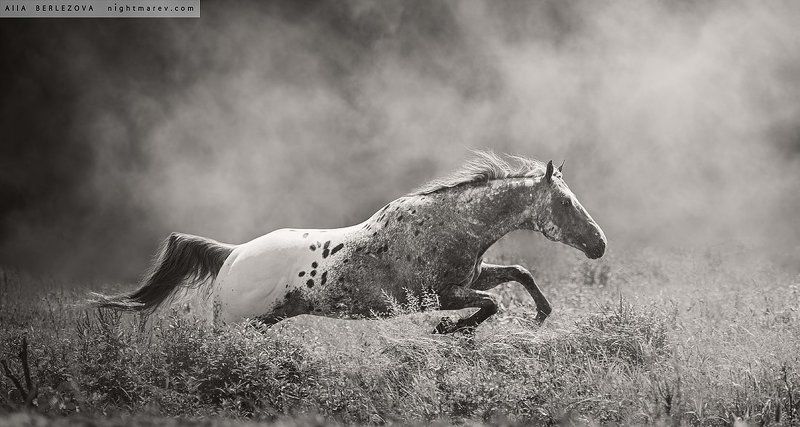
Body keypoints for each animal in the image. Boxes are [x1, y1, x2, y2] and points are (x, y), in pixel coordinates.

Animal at [90, 151, 606, 333]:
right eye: (564, 203)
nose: (599, 244)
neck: (450, 224)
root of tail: (232, 254)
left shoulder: (472, 277)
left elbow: (519, 274)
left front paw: (542, 314)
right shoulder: (437, 294)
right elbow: (492, 304)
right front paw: (450, 330)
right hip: (232, 325)